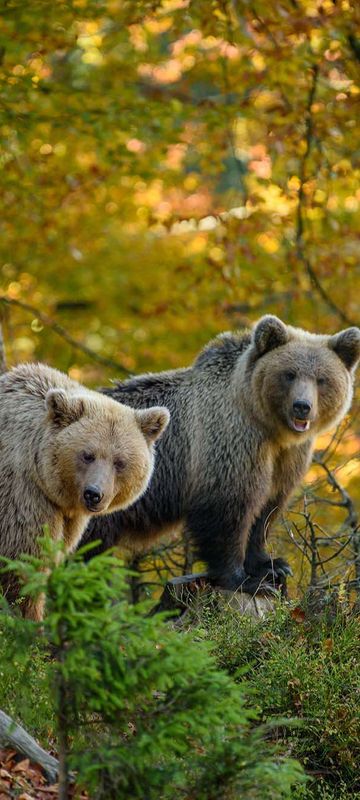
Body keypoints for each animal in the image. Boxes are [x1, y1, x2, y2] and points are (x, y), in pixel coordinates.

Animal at [0, 362, 170, 620]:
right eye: (87, 455)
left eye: (120, 462)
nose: (94, 494)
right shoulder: (22, 495)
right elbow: (24, 562)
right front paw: (28, 619)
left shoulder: (67, 519)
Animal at [81, 316, 360, 592]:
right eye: (289, 374)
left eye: (321, 379)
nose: (302, 406)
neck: (268, 426)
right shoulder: (230, 440)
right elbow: (227, 509)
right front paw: (244, 579)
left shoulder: (287, 457)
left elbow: (267, 509)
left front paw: (273, 567)